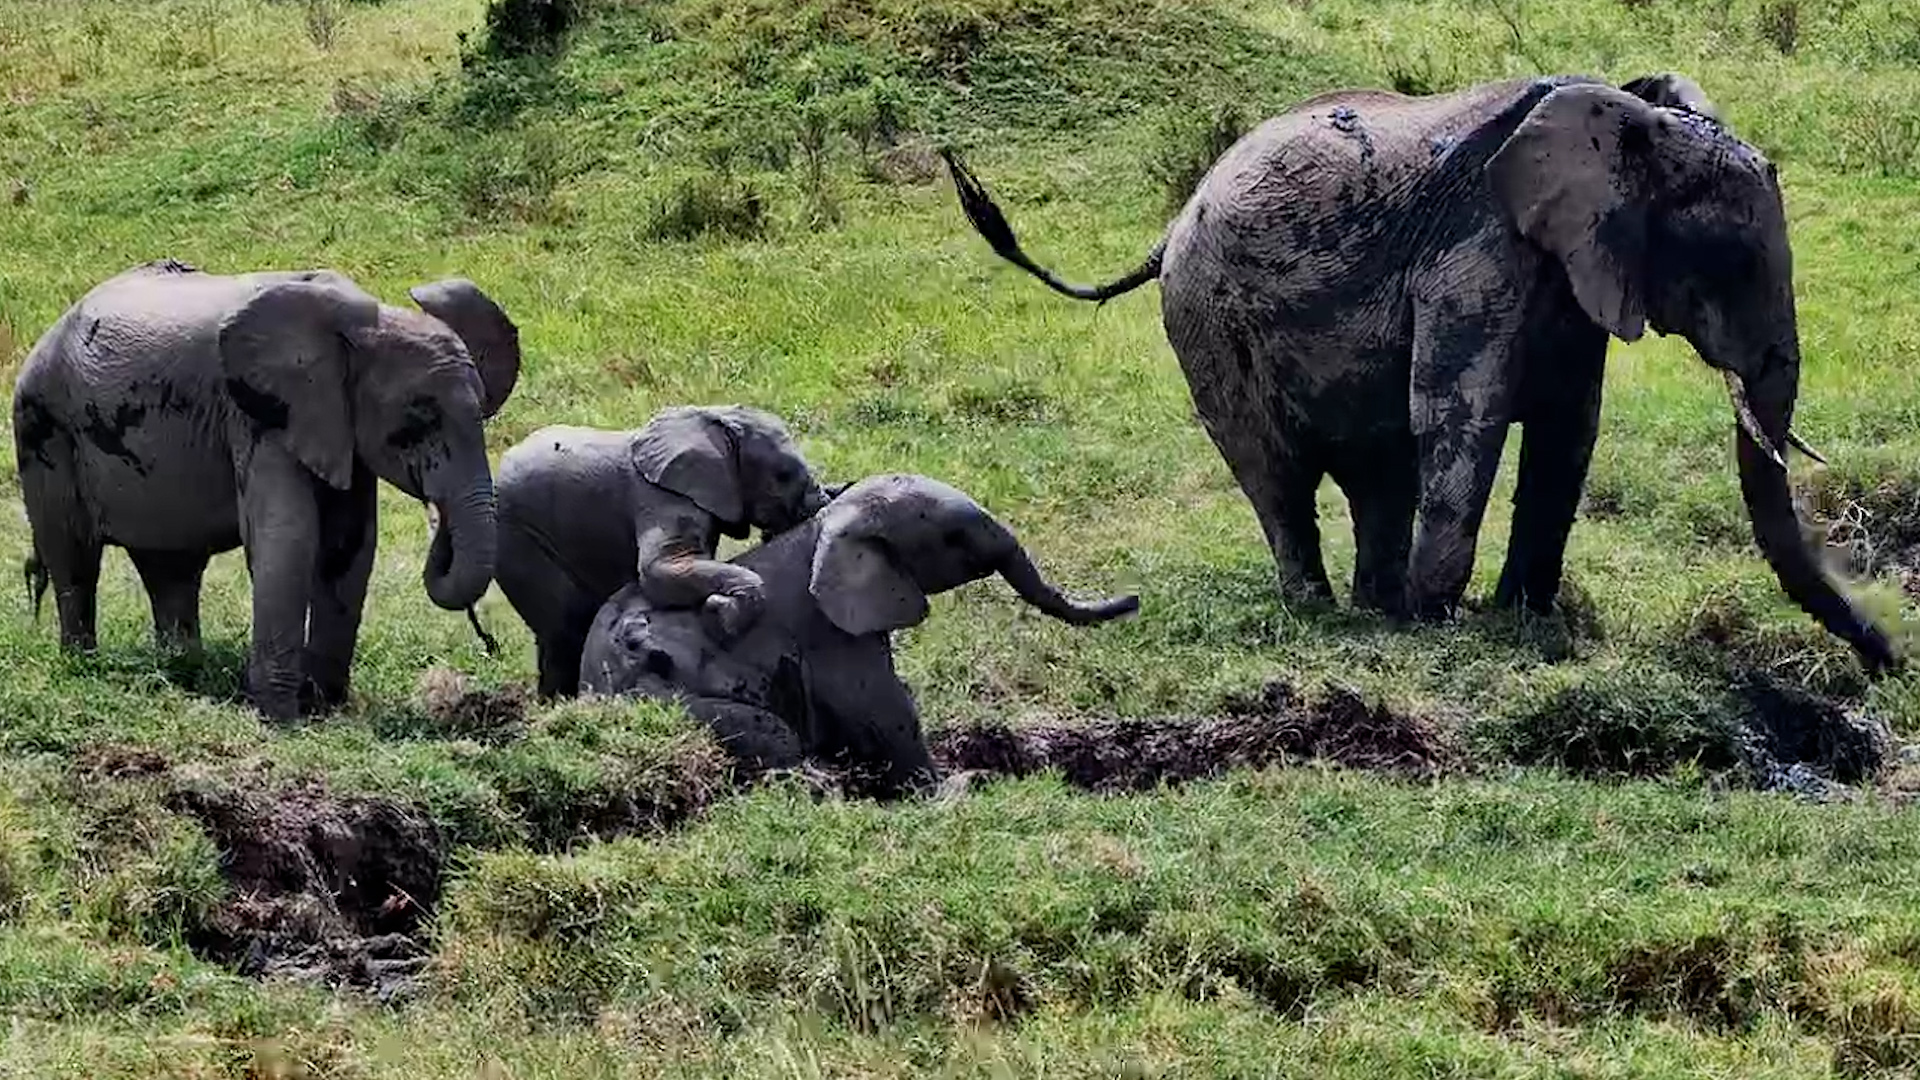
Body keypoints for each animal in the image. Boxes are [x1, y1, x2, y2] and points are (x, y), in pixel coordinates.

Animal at [12, 258, 522, 719]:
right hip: (43, 426)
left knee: (171, 568)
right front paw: (281, 716)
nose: (488, 642)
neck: (358, 329)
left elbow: (349, 546)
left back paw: (183, 671)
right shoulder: (258, 415)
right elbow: (289, 538)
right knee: (75, 559)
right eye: (417, 422)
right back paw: (84, 666)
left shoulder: (339, 430)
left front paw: (324, 705)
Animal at [493, 405, 832, 699]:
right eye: (782, 476)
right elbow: (658, 570)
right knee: (564, 629)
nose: (821, 502)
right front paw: (720, 616)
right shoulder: (660, 497)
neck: (712, 417)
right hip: (518, 539)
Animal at [578, 473, 1140, 795]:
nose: (1134, 599)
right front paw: (955, 789)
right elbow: (883, 707)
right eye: (954, 538)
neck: (828, 523)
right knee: (771, 731)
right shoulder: (830, 627)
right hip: (666, 699)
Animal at [942, 72, 1898, 673]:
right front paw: (1450, 625)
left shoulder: (1572, 271)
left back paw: (1380, 610)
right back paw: (1328, 611)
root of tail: (1170, 226)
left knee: (1380, 475)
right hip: (1206, 321)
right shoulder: (1475, 258)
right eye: (1734, 258)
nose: (1888, 661)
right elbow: (1463, 416)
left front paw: (1524, 621)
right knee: (1276, 475)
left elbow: (1568, 435)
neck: (1623, 119)